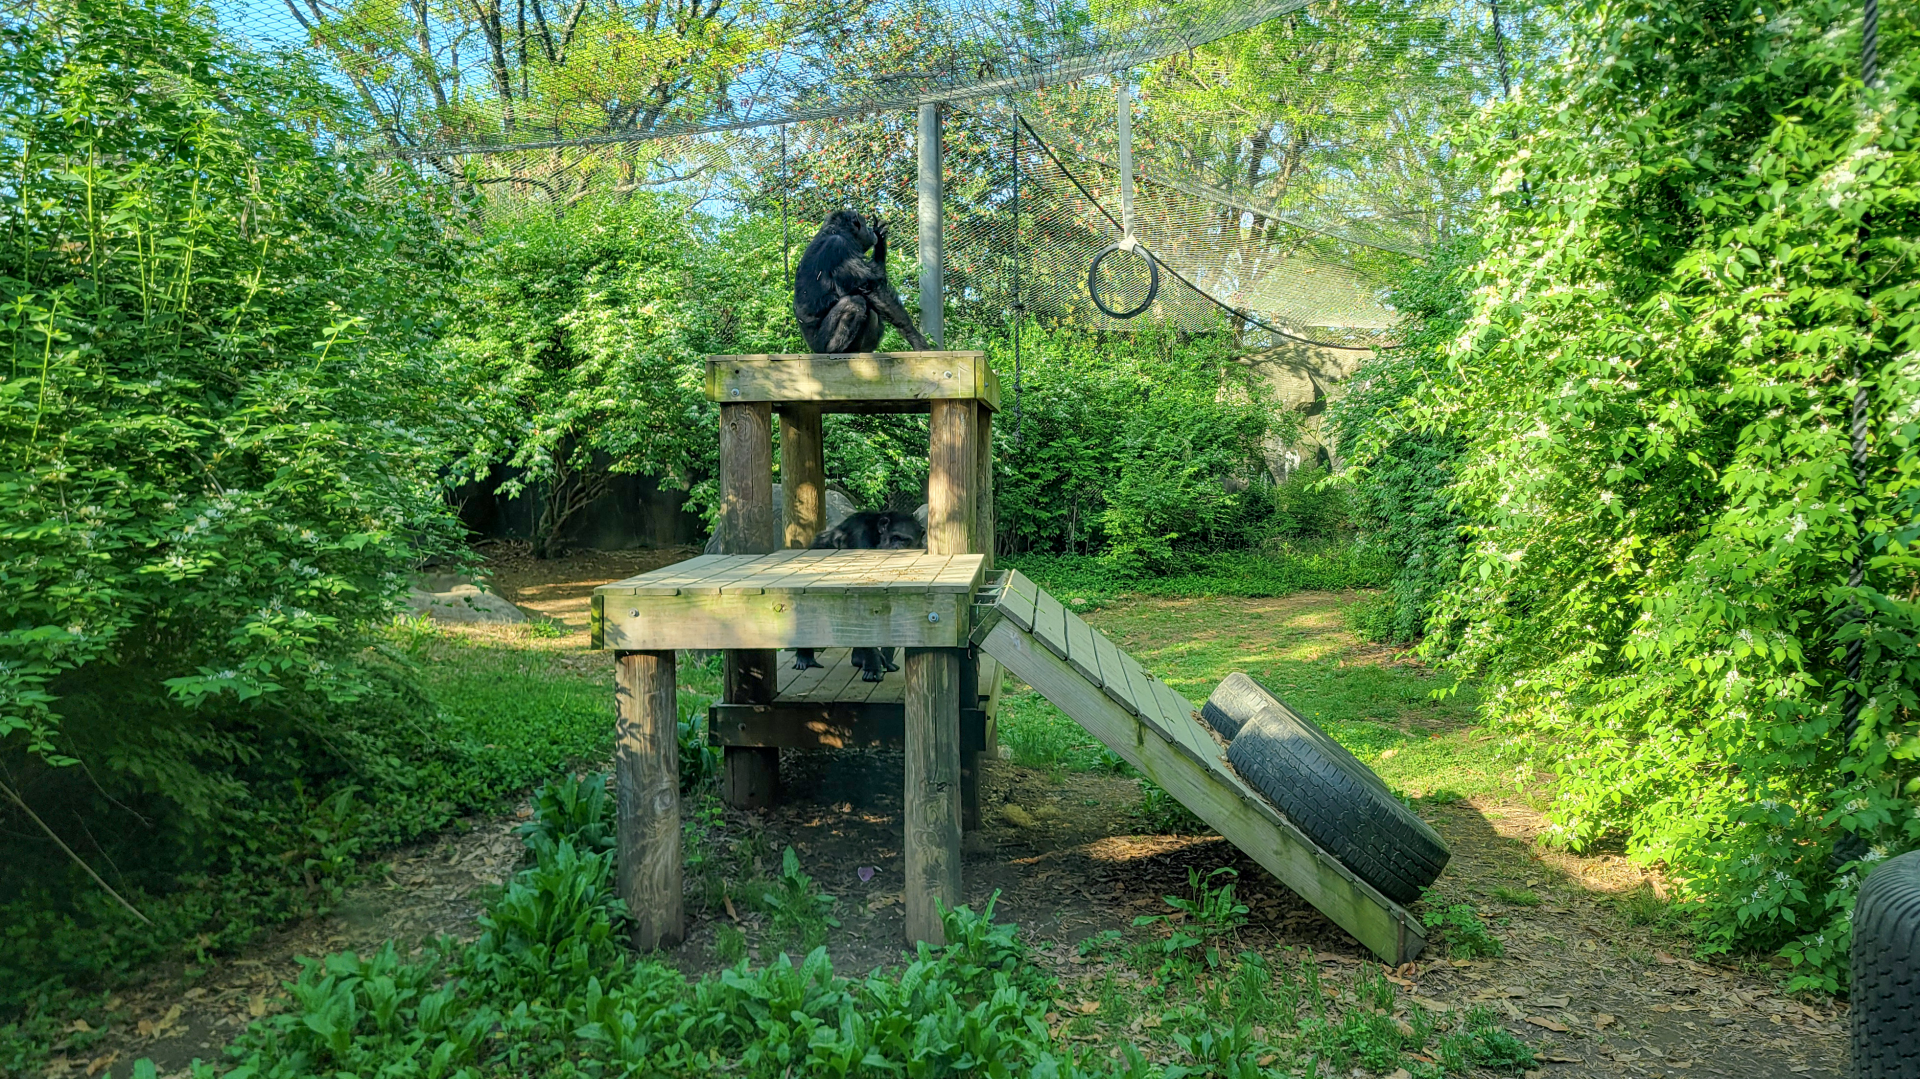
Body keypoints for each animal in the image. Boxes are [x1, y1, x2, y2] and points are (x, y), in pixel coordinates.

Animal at [792, 510, 926, 681]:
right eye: (895, 537)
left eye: (906, 540)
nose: (897, 546)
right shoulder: (860, 537)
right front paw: (874, 666)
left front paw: (887, 659)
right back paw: (805, 658)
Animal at [794, 210, 933, 353]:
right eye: (865, 223)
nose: (870, 230)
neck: (839, 231)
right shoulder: (840, 247)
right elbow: (871, 287)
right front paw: (916, 339)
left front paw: (880, 235)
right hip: (819, 343)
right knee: (854, 302)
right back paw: (833, 349)